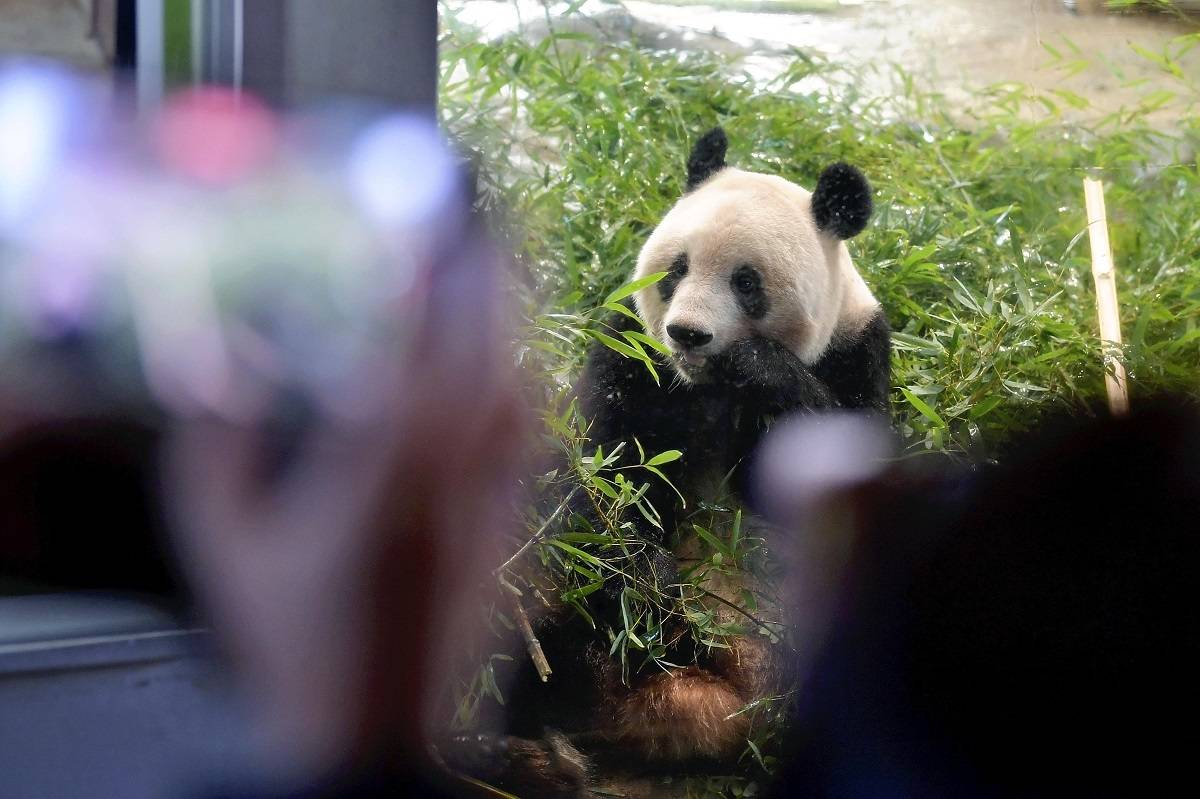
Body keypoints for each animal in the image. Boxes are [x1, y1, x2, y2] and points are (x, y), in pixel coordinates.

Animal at [446, 125, 888, 796]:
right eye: (677, 270)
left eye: (746, 282)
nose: (687, 334)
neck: (706, 383)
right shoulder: (632, 352)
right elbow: (597, 475)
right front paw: (646, 579)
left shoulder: (857, 352)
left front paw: (761, 367)